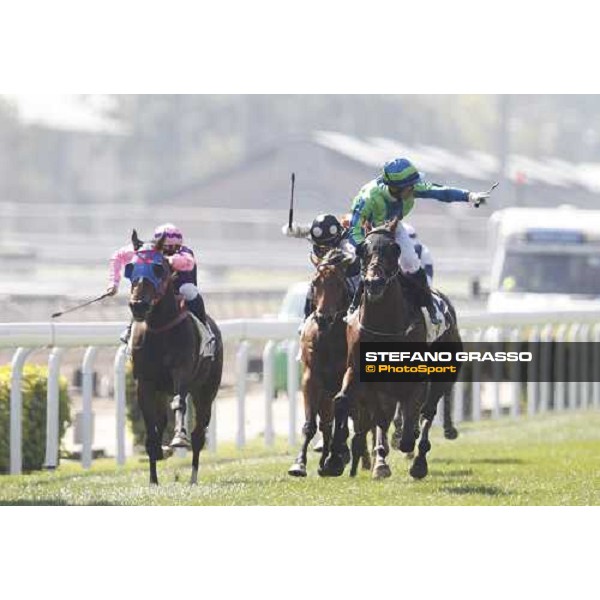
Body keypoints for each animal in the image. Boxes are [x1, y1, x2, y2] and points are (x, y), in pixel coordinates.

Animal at [126, 232, 223, 486]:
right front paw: (153, 479)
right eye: (130, 267)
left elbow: (179, 403)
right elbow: (151, 425)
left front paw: (179, 439)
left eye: (159, 268)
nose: (138, 305)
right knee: (161, 420)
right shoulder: (145, 382)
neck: (159, 328)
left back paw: (193, 477)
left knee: (199, 433)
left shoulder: (181, 372)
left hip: (205, 390)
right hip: (163, 390)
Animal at [288, 248, 354, 478]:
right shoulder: (312, 377)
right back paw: (325, 459)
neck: (330, 336)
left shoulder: (347, 375)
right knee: (326, 423)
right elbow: (311, 424)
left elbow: (342, 417)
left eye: (339, 283)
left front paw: (336, 458)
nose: (324, 319)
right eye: (315, 282)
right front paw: (299, 464)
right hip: (325, 391)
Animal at [324, 218, 464, 480]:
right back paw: (381, 461)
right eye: (362, 250)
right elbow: (344, 401)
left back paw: (418, 462)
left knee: (428, 412)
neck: (384, 324)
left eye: (394, 249)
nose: (374, 282)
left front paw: (406, 440)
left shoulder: (416, 377)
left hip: (443, 374)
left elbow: (411, 417)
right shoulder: (358, 372)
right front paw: (334, 459)